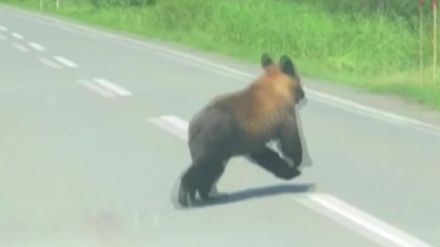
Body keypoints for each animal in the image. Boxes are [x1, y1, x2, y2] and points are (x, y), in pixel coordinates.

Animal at [177, 53, 304, 207]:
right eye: (300, 81)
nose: (303, 95)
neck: (276, 86)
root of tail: (193, 126)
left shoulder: (251, 136)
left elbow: (265, 154)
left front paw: (289, 170)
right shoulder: (284, 114)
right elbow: (291, 140)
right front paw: (296, 164)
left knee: (212, 171)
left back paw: (205, 195)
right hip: (213, 142)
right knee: (204, 167)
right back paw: (186, 195)